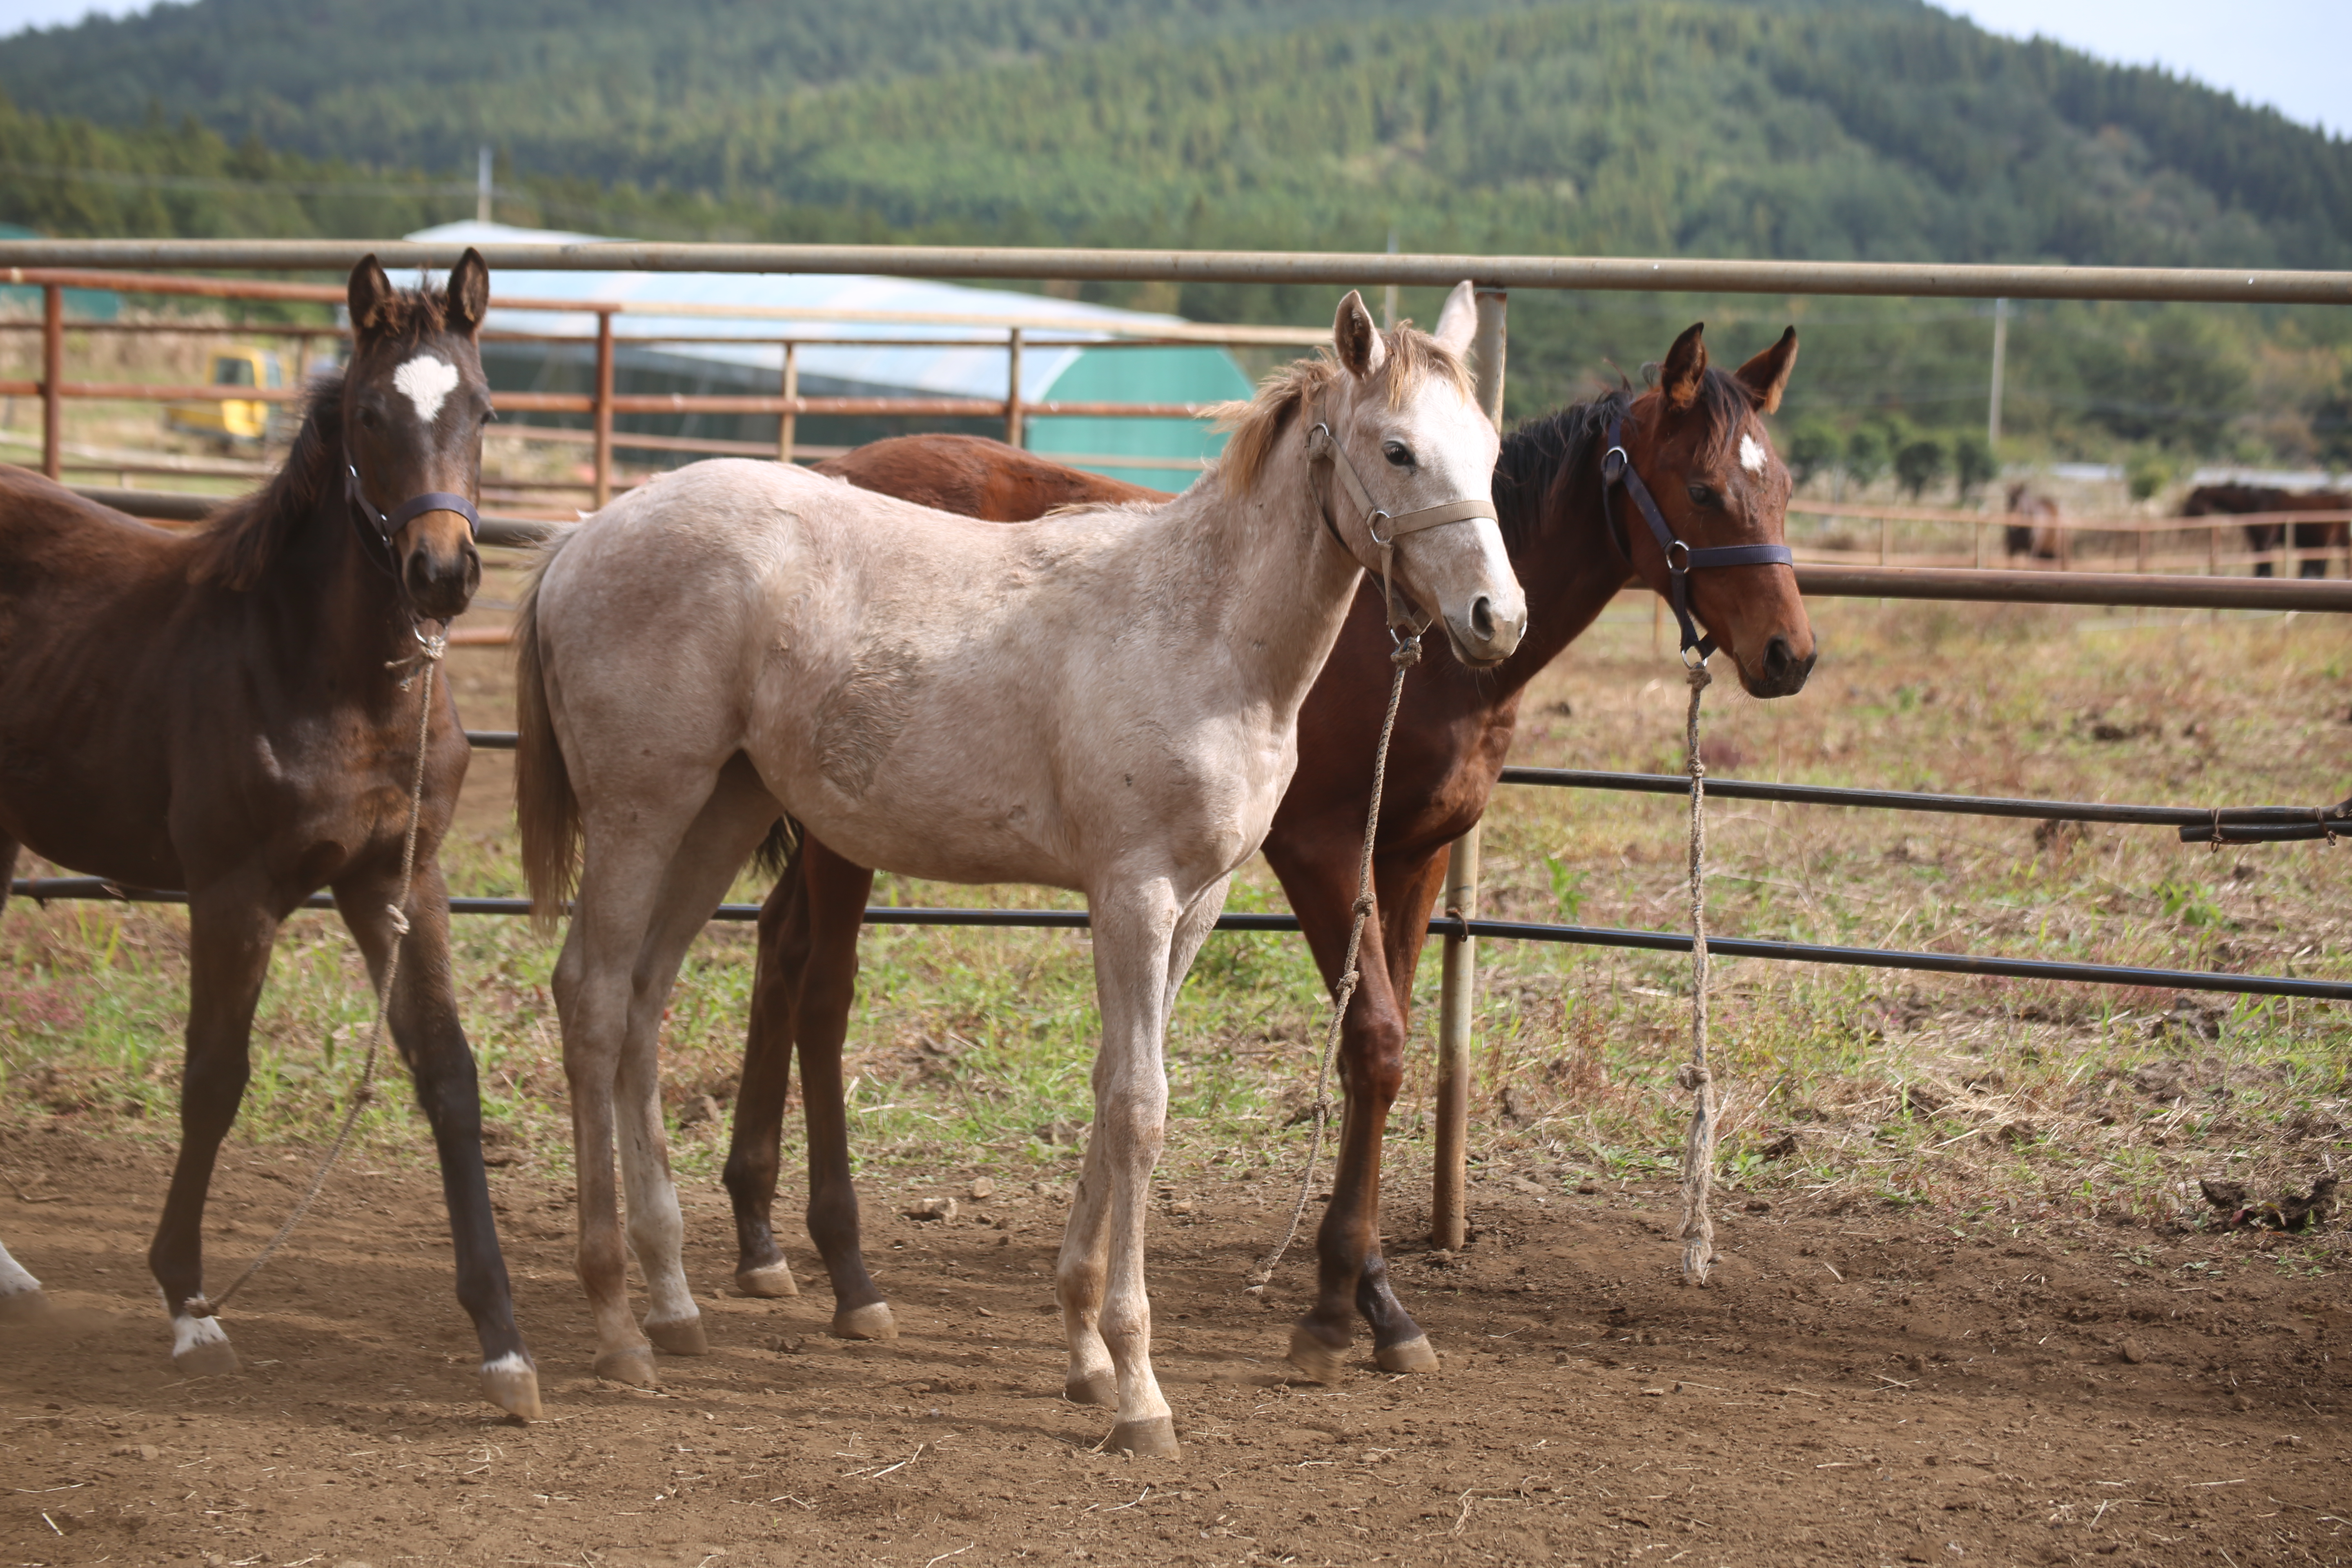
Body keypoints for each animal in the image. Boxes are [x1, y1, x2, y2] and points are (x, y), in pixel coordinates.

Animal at [0, 248, 539, 1420]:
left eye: (482, 408)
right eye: (373, 414)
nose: (443, 575)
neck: (336, 680)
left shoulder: (401, 885)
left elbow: (448, 1075)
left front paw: (504, 1345)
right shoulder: (233, 893)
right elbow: (215, 1079)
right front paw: (190, 1306)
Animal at [515, 285, 1524, 1457]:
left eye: (1491, 452)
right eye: (1398, 450)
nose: (1498, 619)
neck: (1205, 630)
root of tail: (583, 535)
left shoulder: (1196, 906)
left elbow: (1111, 1085)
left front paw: (1085, 1351)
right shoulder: (1133, 894)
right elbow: (1140, 1107)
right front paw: (1140, 1390)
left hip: (719, 811)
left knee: (643, 999)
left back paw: (673, 1304)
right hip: (644, 812)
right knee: (592, 997)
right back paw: (616, 1324)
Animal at [715, 315, 1815, 1382]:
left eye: (1782, 486)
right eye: (1705, 488)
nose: (1789, 655)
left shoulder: (1408, 859)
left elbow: (1385, 1052)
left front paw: (1367, 1304)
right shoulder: (1317, 851)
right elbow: (1370, 1044)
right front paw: (1345, 1304)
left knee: (777, 951)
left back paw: (759, 1236)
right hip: (843, 832)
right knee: (822, 990)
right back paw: (847, 1271)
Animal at [2004, 491, 2060, 571]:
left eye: (2022, 505)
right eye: (2008, 504)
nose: (2013, 525)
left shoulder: (2032, 549)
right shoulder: (2012, 548)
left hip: (2053, 551)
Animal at [2183, 482, 2352, 581]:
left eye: (2191, 503)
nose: (2184, 523)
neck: (2255, 503)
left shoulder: (2264, 542)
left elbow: (2264, 568)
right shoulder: (2258, 542)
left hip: (2339, 541)